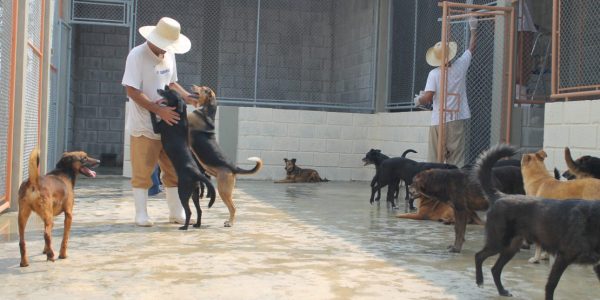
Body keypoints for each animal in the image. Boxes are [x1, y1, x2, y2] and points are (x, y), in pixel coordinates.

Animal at [150, 85, 216, 231]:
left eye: (169, 92)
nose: (164, 86)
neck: (179, 117)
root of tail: (197, 173)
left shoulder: (157, 128)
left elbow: (152, 116)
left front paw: (152, 106)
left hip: (183, 192)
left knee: (189, 211)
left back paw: (185, 227)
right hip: (194, 193)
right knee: (199, 210)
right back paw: (196, 224)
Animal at [188, 85, 262, 227]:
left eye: (203, 88)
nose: (193, 85)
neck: (207, 111)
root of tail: (233, 167)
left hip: (223, 190)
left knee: (233, 208)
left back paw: (230, 223)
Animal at [474, 145, 600, 300]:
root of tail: (500, 196)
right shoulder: (563, 257)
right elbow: (551, 285)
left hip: (511, 247)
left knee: (495, 269)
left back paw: (502, 291)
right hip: (498, 242)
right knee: (479, 256)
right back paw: (480, 281)